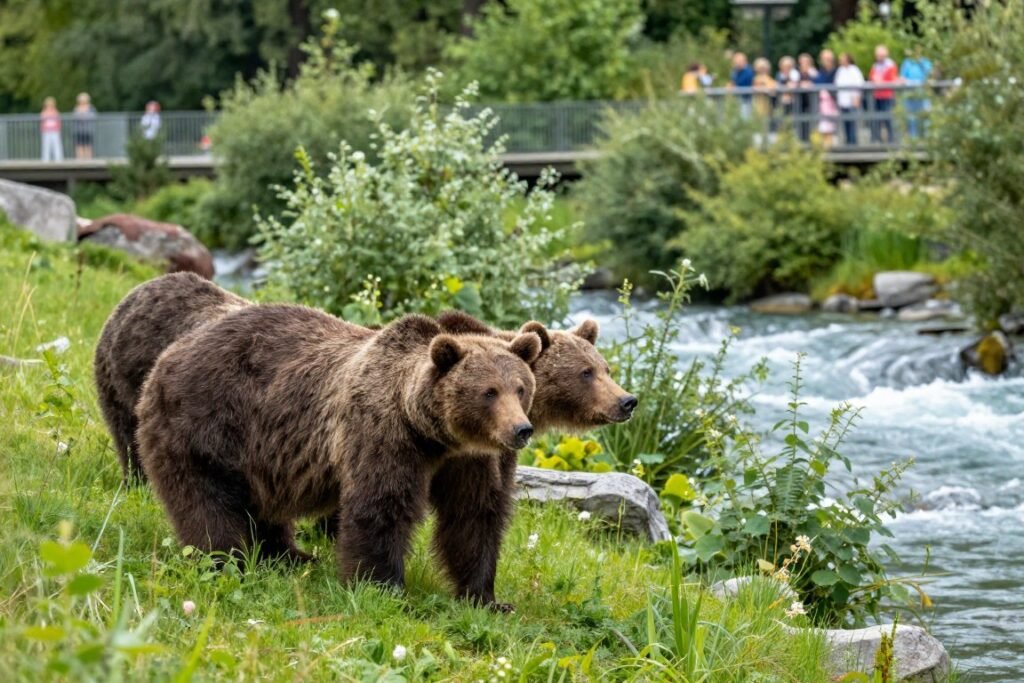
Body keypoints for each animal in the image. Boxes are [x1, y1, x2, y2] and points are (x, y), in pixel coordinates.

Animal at [135, 304, 542, 606]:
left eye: (520, 388)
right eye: (488, 392)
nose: (521, 430)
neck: (436, 436)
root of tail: (170, 354)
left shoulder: (472, 460)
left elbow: (475, 514)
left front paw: (487, 598)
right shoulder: (383, 435)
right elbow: (381, 507)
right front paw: (382, 588)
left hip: (259, 452)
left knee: (261, 503)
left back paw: (289, 555)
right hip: (206, 425)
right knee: (207, 502)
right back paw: (225, 560)